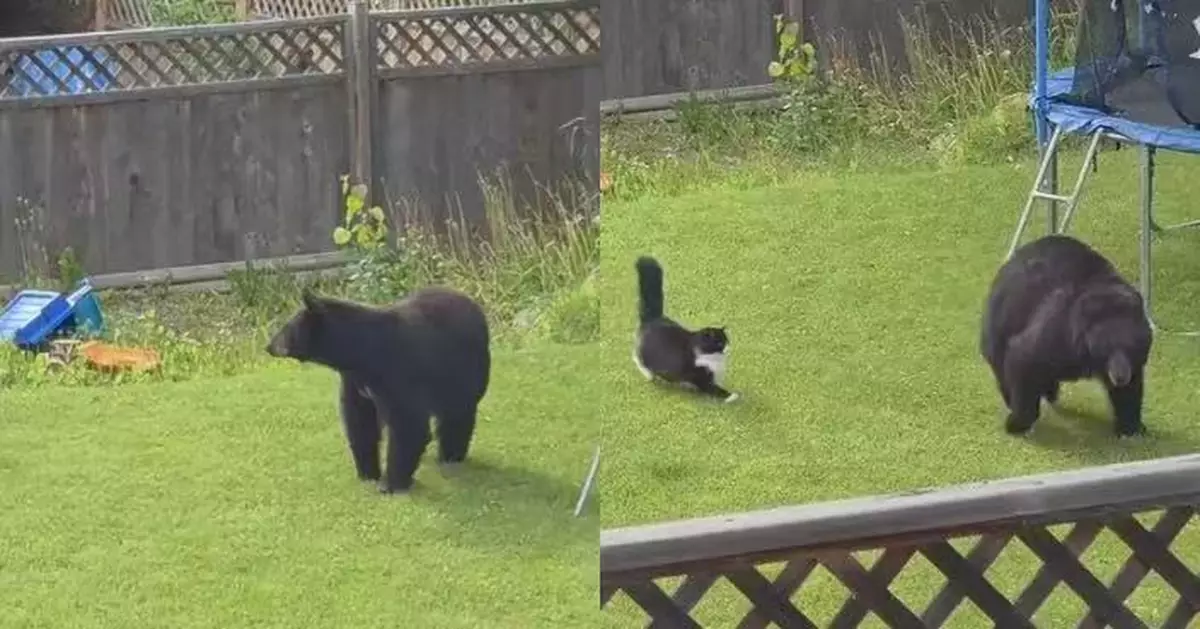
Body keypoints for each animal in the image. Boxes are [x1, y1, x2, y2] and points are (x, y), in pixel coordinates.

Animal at [266, 286, 491, 493]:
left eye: (286, 327)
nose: (268, 346)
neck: (362, 354)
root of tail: (470, 300)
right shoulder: (355, 381)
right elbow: (360, 421)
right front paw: (368, 474)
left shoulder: (399, 373)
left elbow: (407, 422)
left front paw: (390, 484)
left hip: (463, 372)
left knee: (458, 415)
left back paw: (451, 456)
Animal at [980, 234, 1152, 437]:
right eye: (1108, 348)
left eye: (1130, 347)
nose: (1120, 376)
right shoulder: (1058, 326)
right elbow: (1024, 358)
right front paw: (1017, 422)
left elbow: (1131, 390)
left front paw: (1131, 427)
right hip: (1000, 323)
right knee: (1002, 366)